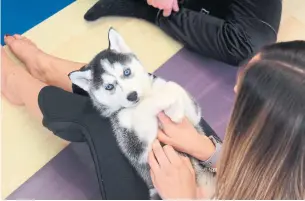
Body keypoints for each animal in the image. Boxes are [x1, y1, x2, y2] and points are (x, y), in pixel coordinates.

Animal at [69, 28, 214, 199]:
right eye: (109, 87)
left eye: (126, 72)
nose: (132, 96)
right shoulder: (139, 147)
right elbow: (145, 107)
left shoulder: (194, 117)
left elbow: (172, 86)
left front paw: (175, 110)